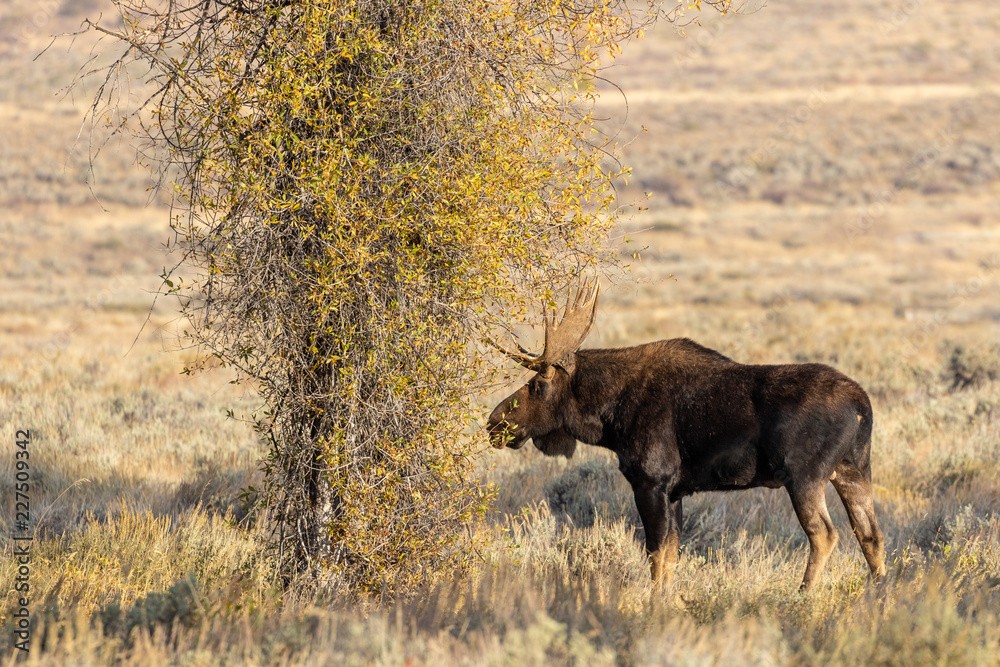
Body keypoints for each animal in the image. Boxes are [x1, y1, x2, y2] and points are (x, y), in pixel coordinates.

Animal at [487, 280, 886, 592]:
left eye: (538, 385)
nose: (494, 423)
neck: (609, 418)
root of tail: (862, 405)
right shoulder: (676, 491)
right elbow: (671, 557)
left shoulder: (651, 482)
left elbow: (656, 555)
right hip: (853, 471)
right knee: (871, 536)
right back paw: (878, 600)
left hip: (805, 477)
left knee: (825, 535)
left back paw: (802, 597)